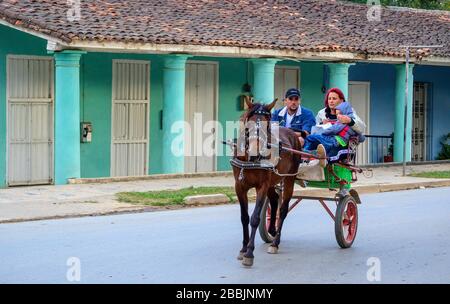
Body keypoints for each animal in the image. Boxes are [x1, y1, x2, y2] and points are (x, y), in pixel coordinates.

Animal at [232, 96, 302, 268]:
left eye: (267, 124)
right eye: (248, 123)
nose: (255, 151)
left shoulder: (261, 186)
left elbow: (255, 218)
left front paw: (249, 253)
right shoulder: (239, 186)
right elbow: (244, 217)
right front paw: (243, 249)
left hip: (289, 178)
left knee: (283, 210)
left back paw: (275, 243)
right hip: (272, 182)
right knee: (275, 200)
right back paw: (272, 230)